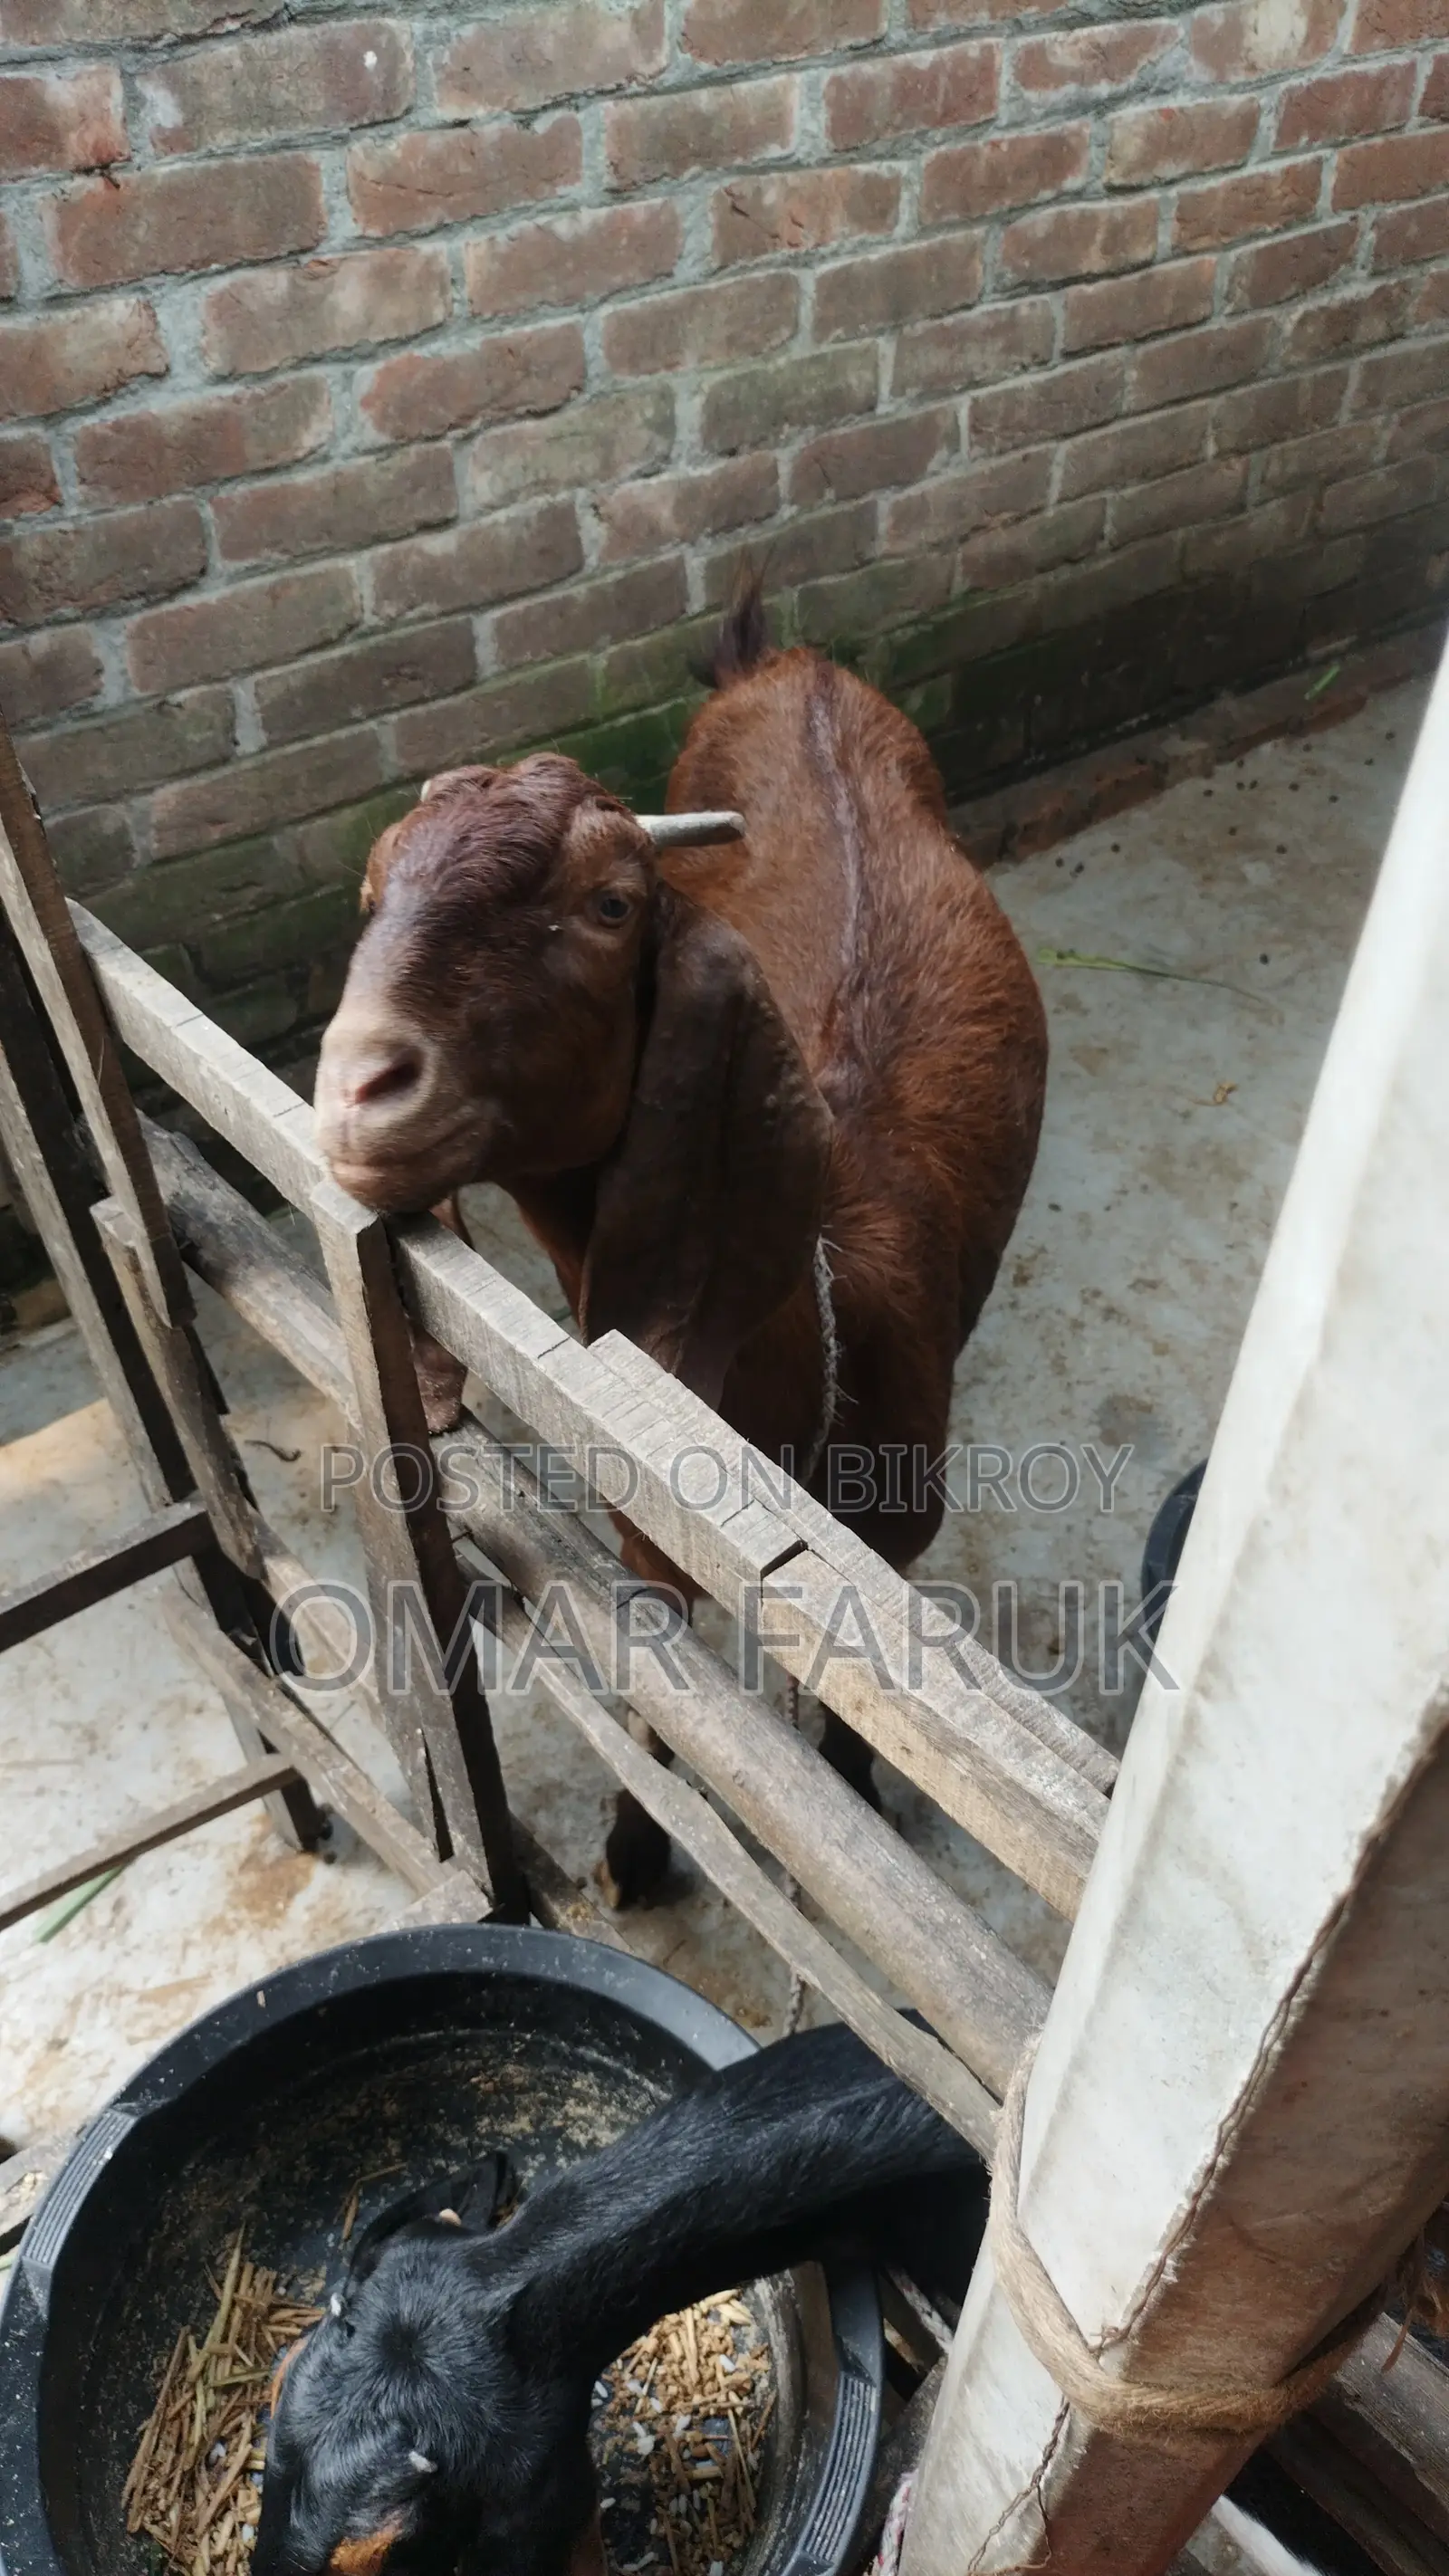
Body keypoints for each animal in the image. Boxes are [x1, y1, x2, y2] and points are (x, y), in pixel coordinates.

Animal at [314, 589, 1048, 1903]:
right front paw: (634, 1847)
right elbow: (662, 1674)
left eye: (612, 905)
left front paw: (850, 1804)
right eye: (371, 893)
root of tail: (788, 664)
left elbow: (851, 1714)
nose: (359, 1085)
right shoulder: (643, 1535)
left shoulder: (894, 1548)